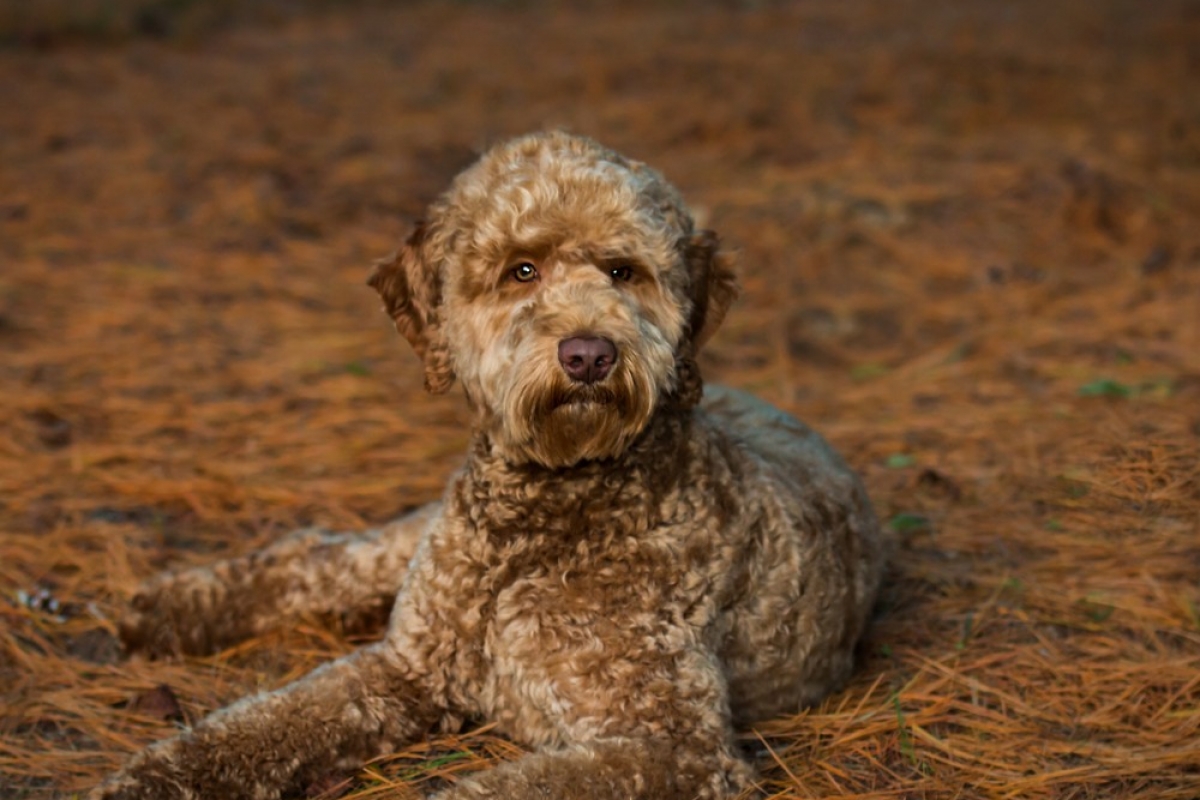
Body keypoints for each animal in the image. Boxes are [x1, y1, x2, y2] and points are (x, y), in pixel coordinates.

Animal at [93, 131, 888, 800]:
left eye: (623, 271)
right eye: (521, 271)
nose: (589, 354)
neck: (542, 515)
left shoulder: (673, 746)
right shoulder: (406, 668)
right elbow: (258, 725)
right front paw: (155, 776)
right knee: (317, 554)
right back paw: (167, 610)